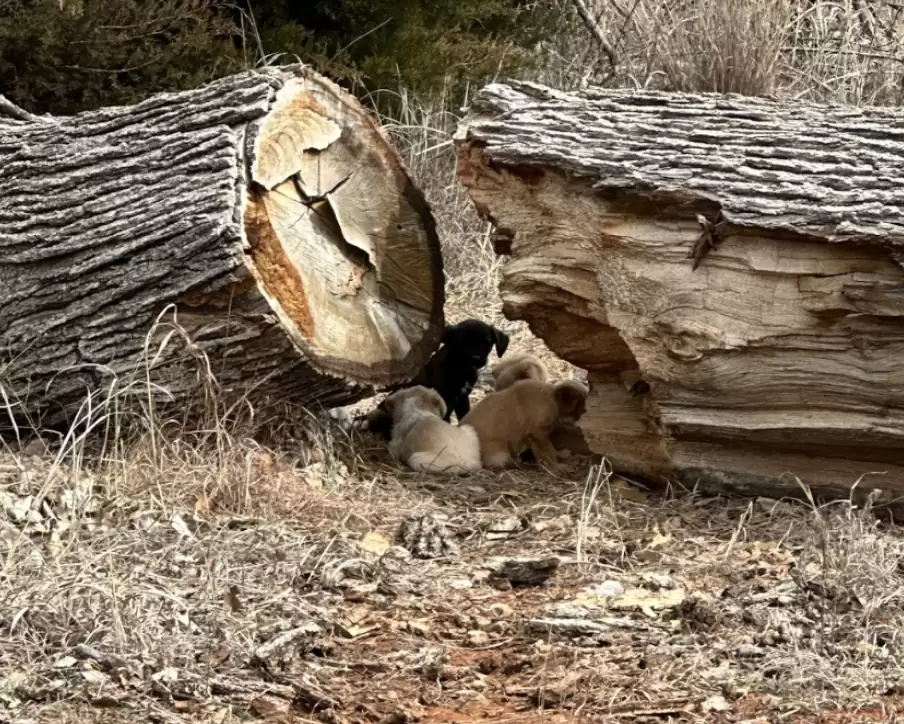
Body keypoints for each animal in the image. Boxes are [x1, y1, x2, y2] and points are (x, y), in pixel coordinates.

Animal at [366, 318, 508, 442]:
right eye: (461, 342)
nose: (476, 358)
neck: (461, 368)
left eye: (486, 343)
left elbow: (464, 414)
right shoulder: (445, 399)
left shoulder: (462, 398)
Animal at [460, 378, 592, 470]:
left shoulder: (535, 436)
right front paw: (556, 467)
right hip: (500, 453)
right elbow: (547, 452)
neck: (551, 397)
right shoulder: (538, 433)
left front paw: (562, 456)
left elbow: (551, 450)